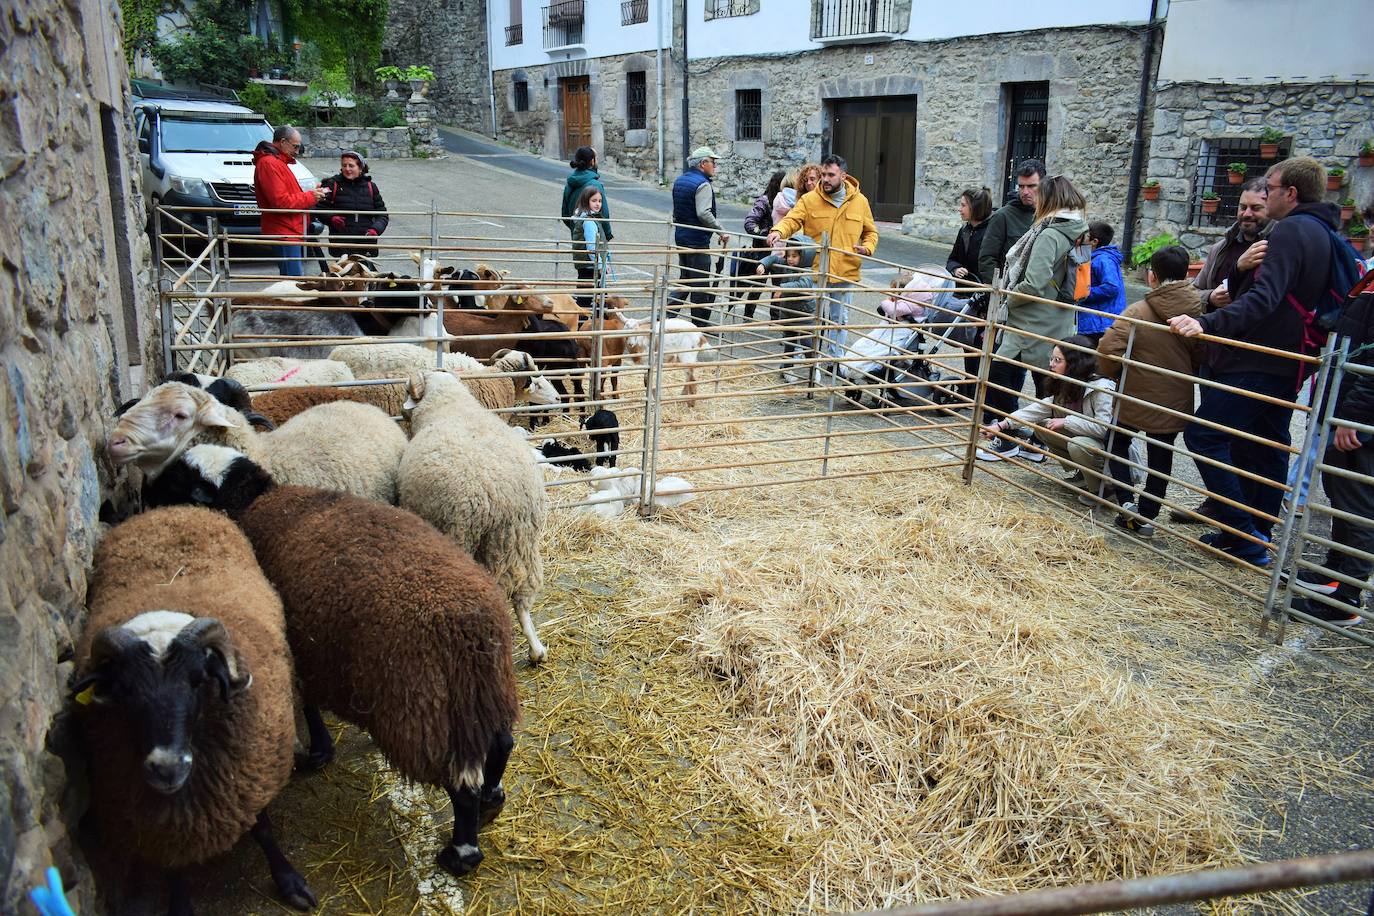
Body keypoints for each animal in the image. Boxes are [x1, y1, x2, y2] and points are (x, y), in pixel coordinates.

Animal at [74, 505, 314, 911]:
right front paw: (179, 903)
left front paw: (289, 881)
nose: (167, 767)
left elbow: (264, 829)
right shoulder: (161, 823)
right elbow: (173, 865)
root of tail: (168, 510)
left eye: (198, 680)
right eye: (124, 689)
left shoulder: (250, 774)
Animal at [144, 447, 519, 878]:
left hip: (424, 707)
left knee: (461, 786)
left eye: (178, 479)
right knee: (502, 742)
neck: (256, 501)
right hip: (484, 690)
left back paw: (461, 852)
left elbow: (307, 703)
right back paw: (492, 798)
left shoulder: (298, 645)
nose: (143, 495)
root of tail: (470, 624)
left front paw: (319, 753)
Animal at [398, 373, 546, 667]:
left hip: (460, 535)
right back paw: (536, 650)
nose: (401, 408)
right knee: (522, 596)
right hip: (520, 542)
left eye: (409, 391)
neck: (448, 403)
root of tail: (499, 498)